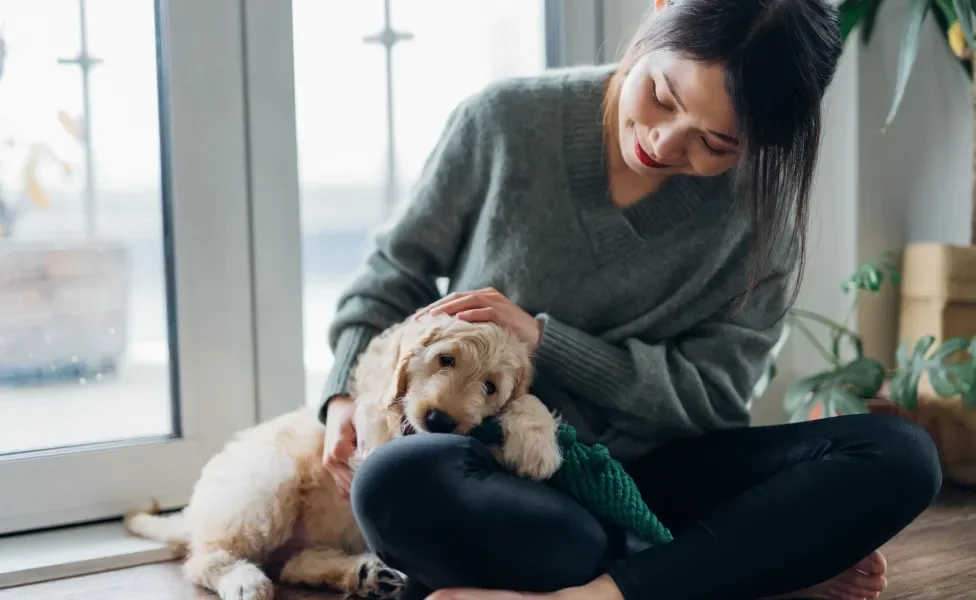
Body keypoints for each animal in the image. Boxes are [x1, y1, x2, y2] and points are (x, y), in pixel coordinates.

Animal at [124, 312, 564, 600]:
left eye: (490, 386)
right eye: (446, 358)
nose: (439, 419)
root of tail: (196, 513)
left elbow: (525, 399)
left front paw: (537, 444)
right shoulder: (375, 438)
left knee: (293, 564)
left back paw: (367, 574)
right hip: (267, 485)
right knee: (204, 558)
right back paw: (244, 580)